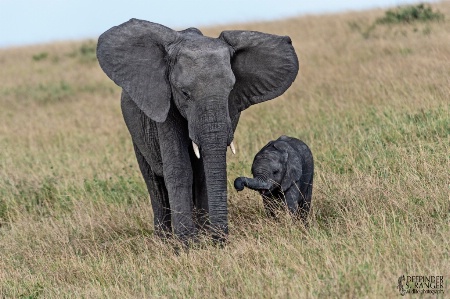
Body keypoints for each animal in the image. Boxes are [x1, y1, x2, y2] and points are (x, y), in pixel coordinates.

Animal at [96, 18, 298, 243]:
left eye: (231, 90)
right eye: (184, 93)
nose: (221, 239)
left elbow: (202, 174)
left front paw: (203, 240)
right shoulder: (166, 105)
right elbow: (179, 169)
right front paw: (185, 244)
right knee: (154, 182)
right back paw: (163, 240)